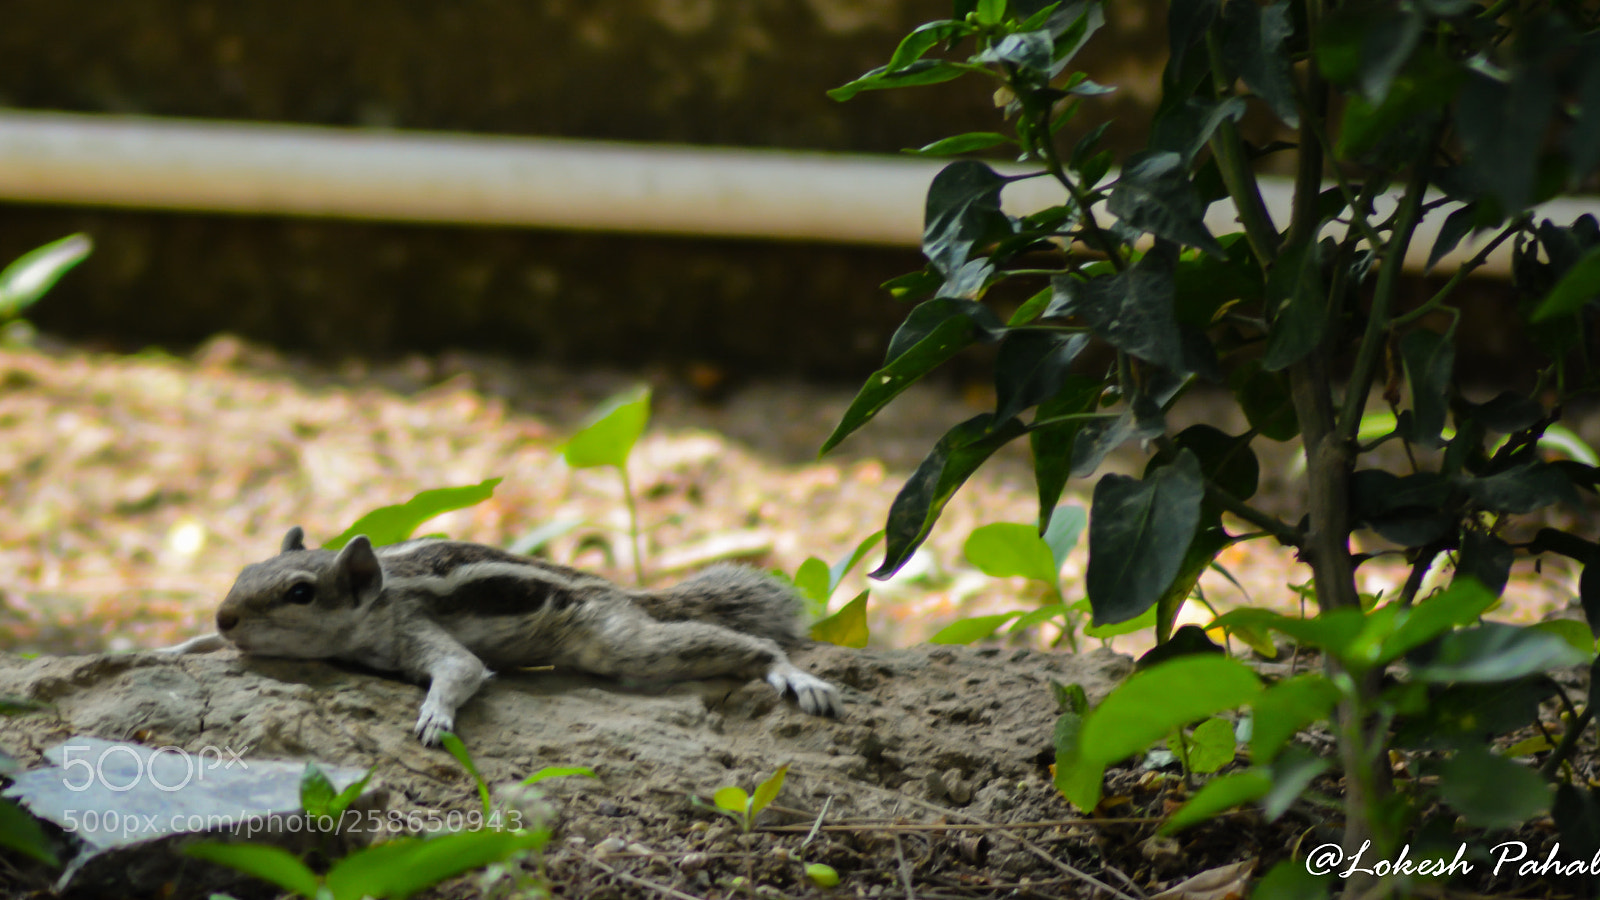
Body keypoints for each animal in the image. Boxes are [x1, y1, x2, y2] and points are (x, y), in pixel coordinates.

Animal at [165, 527, 841, 745]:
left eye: (300, 593)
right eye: (244, 571)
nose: (224, 616)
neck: (378, 599)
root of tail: (617, 589)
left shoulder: (416, 627)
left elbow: (461, 670)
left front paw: (434, 716)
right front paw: (176, 647)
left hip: (616, 641)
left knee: (751, 646)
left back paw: (792, 675)